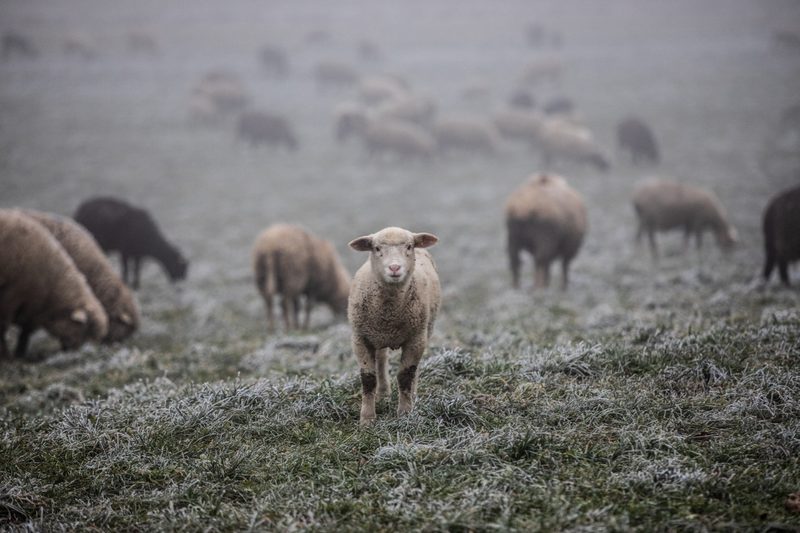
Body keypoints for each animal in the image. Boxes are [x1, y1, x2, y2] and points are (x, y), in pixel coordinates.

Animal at [0, 209, 108, 358]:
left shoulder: (33, 309)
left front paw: (20, 354)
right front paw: (7, 356)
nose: (81, 354)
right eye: (85, 330)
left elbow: (25, 333)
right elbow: (3, 327)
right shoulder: (11, 297)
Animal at [347, 227, 441, 425]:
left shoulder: (415, 338)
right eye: (376, 248)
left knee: (414, 369)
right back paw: (383, 393)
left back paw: (413, 395)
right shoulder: (360, 338)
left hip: (426, 329)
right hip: (377, 335)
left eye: (409, 246)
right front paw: (367, 419)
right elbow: (368, 378)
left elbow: (405, 376)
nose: (395, 268)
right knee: (382, 360)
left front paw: (405, 414)